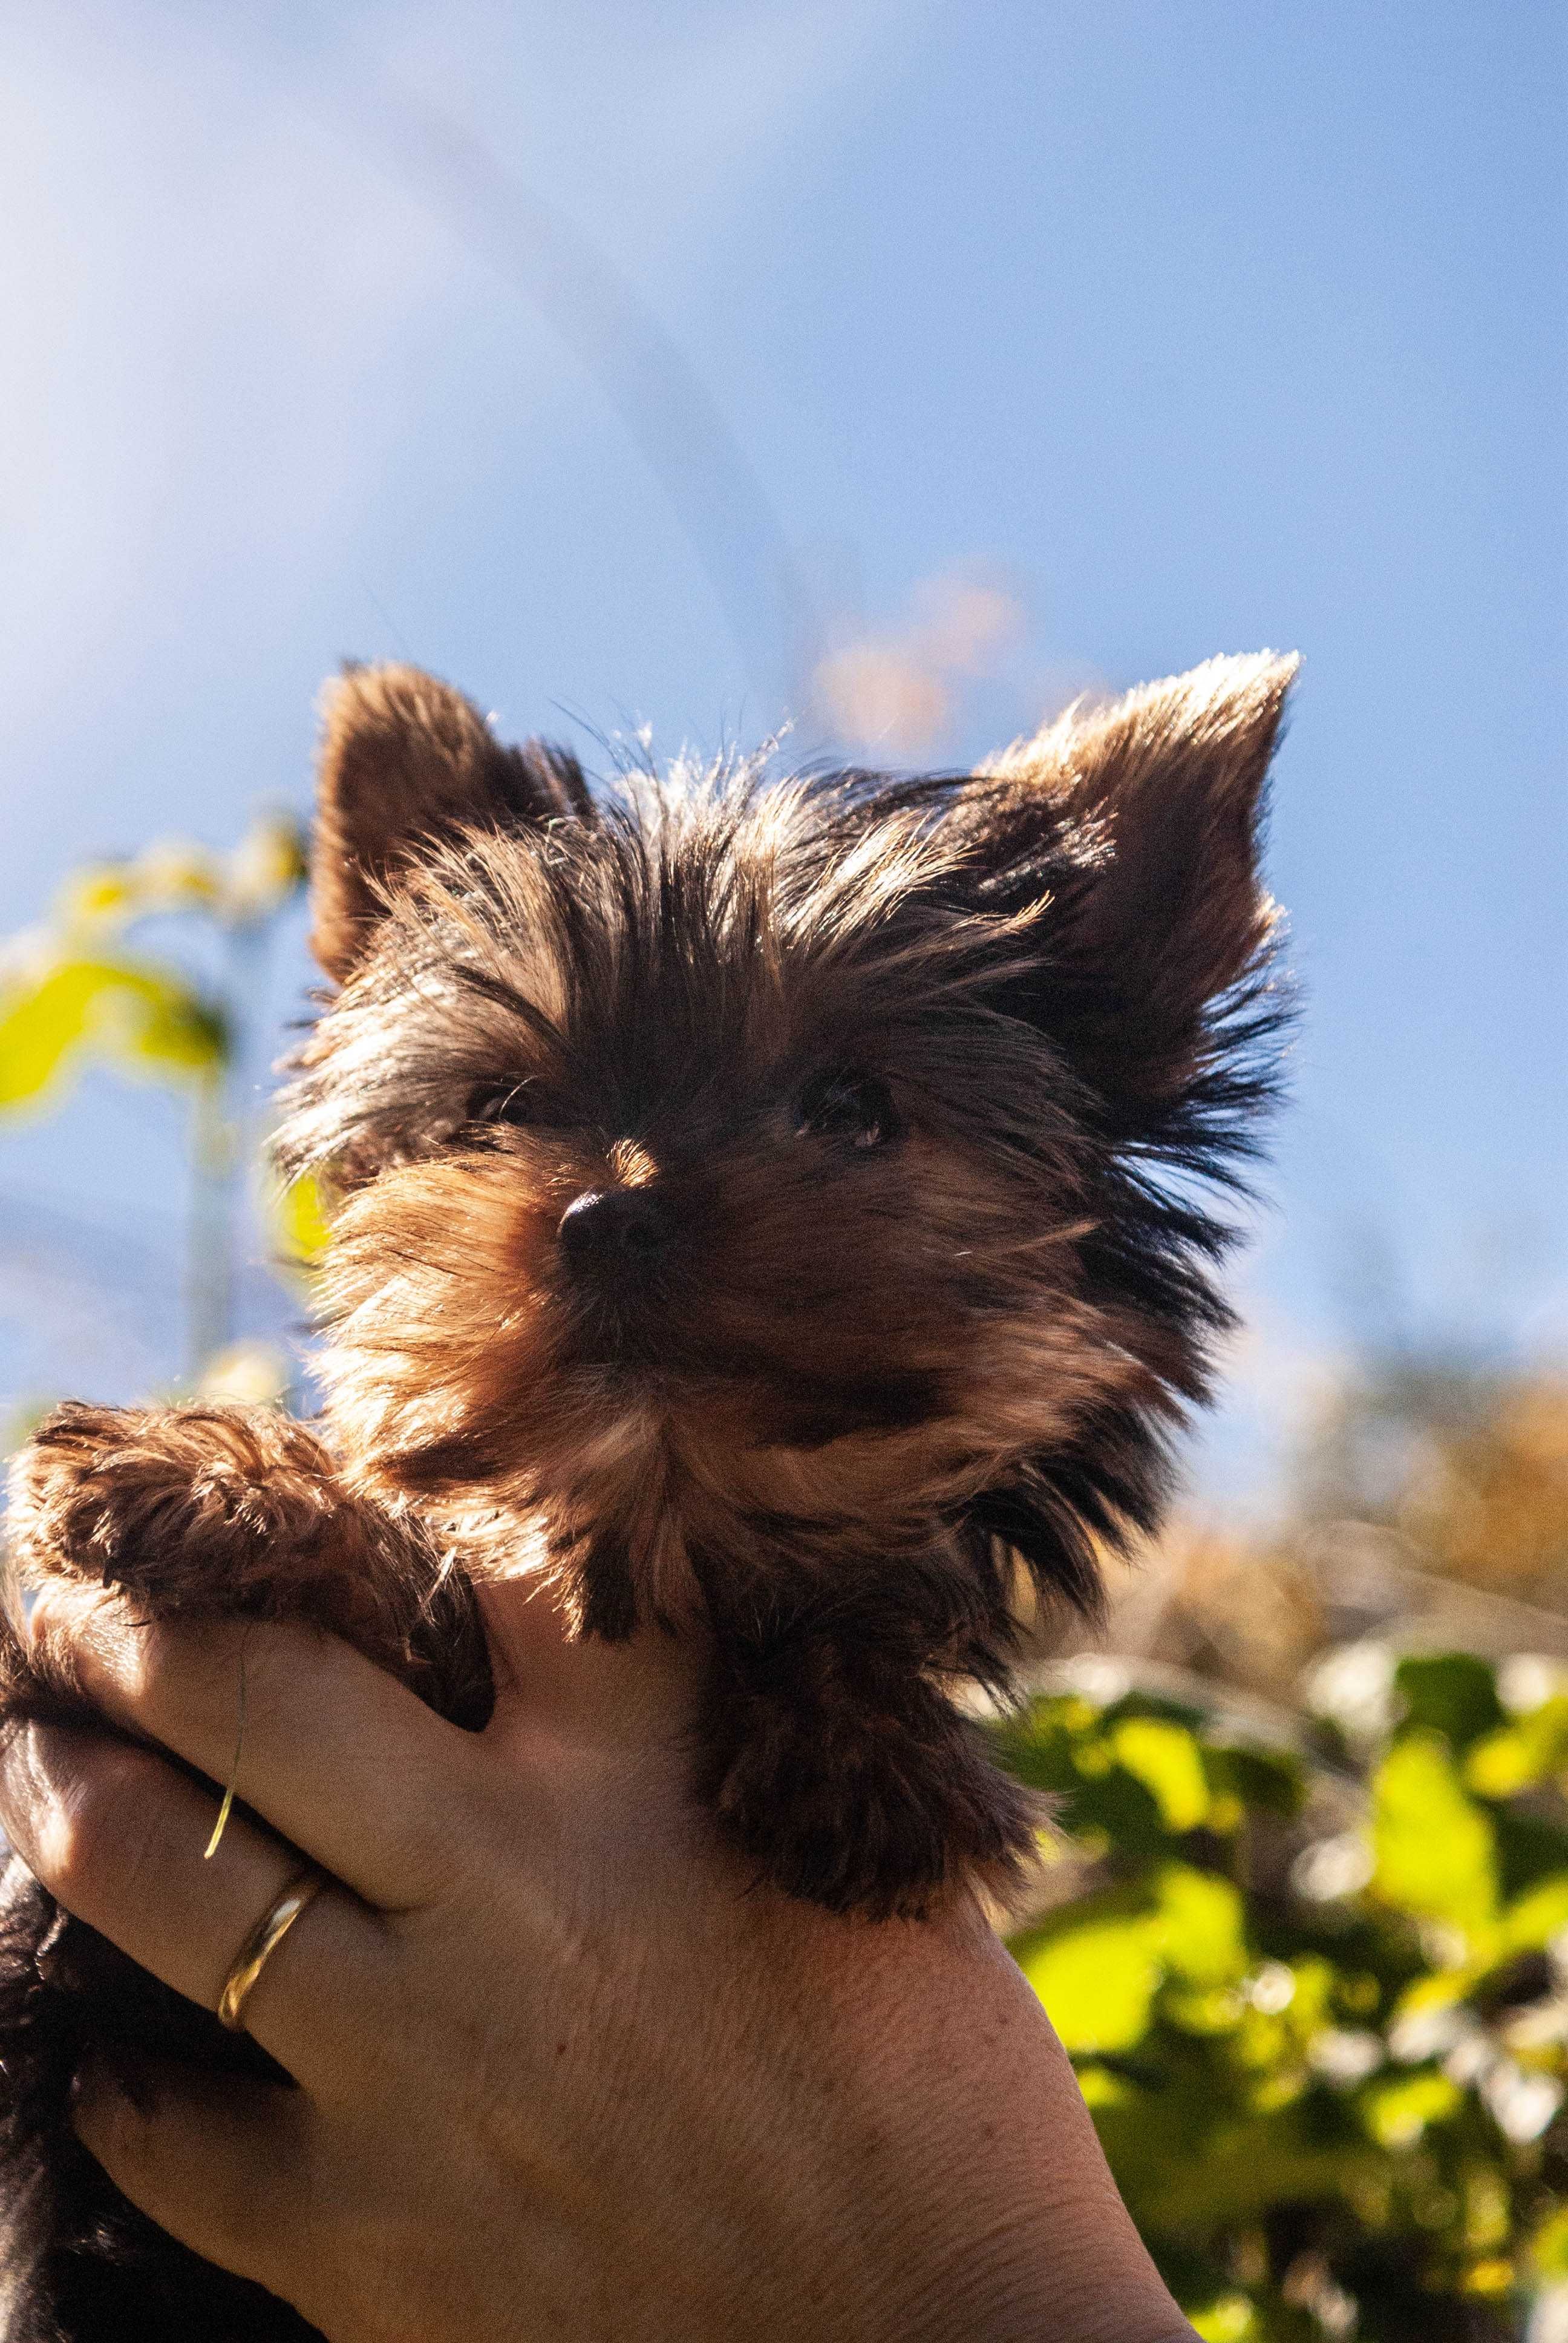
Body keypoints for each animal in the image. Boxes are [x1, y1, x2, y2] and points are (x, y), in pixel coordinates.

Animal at [3, 646, 1293, 2343]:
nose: (611, 1213)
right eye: (502, 1108)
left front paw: (864, 1745)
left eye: (852, 1106)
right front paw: (218, 1479)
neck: (637, 1509)